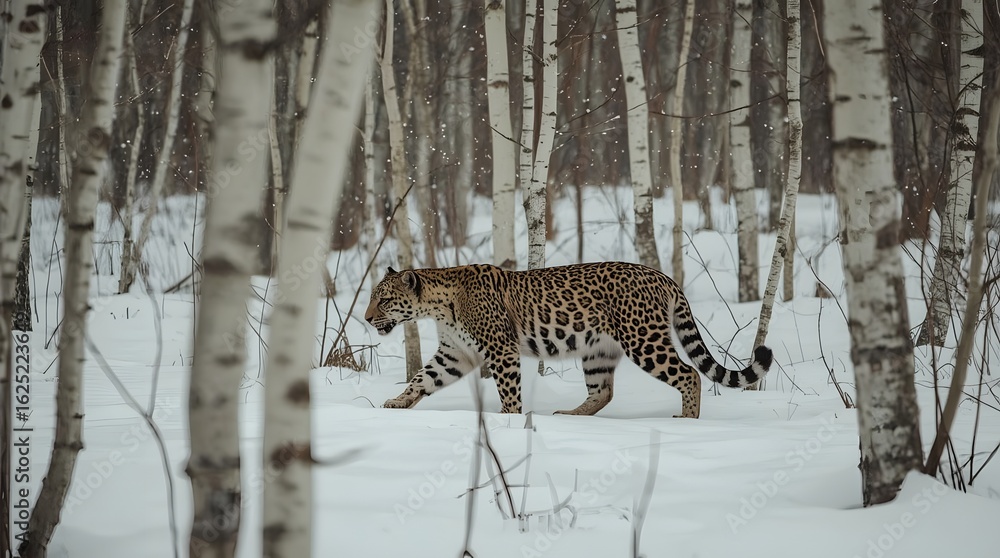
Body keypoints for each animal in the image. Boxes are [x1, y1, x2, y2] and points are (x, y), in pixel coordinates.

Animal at [364, 262, 773, 418]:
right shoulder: (454, 353)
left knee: (689, 374)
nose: (367, 319)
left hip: (644, 339)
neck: (438, 306)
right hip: (598, 350)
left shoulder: (500, 349)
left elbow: (509, 390)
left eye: (382, 299)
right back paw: (571, 416)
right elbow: (422, 378)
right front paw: (397, 403)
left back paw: (687, 420)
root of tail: (664, 277)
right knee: (603, 391)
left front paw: (507, 419)